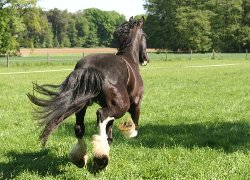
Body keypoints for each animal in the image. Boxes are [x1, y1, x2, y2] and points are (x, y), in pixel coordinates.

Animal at [26, 16, 148, 172]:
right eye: (145, 36)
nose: (146, 59)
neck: (130, 60)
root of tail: (89, 68)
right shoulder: (136, 103)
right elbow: (134, 122)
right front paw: (130, 132)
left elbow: (109, 134)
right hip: (121, 106)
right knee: (101, 115)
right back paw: (100, 160)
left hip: (82, 105)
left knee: (80, 128)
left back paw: (81, 158)